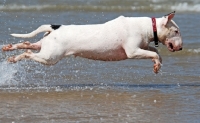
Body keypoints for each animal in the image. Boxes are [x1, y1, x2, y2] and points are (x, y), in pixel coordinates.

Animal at [1, 11, 183, 73]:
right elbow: (154, 53)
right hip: (50, 57)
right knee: (28, 53)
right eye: (176, 31)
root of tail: (54, 28)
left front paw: (157, 65)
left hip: (46, 48)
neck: (147, 26)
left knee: (26, 45)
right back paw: (14, 58)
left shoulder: (142, 46)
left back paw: (8, 48)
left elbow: (156, 52)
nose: (181, 48)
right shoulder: (132, 52)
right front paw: (156, 64)